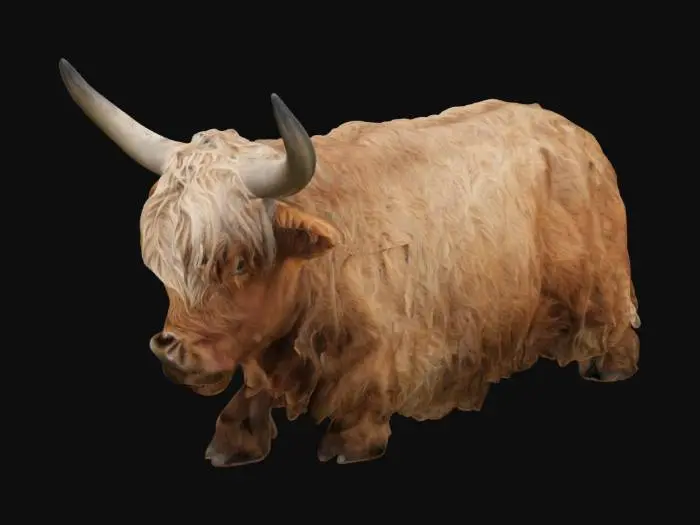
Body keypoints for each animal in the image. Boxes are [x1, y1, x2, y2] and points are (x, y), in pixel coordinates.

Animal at [59, 58, 640, 466]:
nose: (174, 352)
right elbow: (251, 388)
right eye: (164, 269)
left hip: (603, 279)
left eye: (240, 264)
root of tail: (566, 129)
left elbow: (362, 397)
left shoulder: (391, 348)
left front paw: (349, 443)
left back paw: (608, 366)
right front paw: (234, 438)